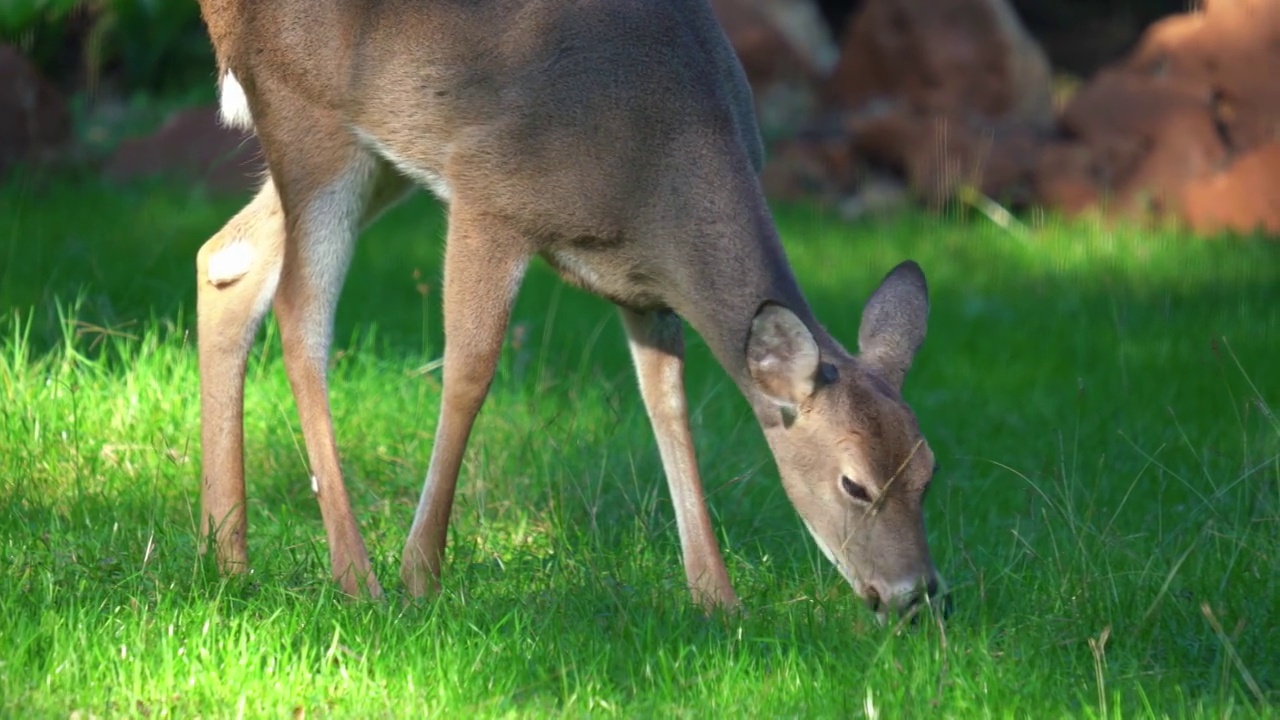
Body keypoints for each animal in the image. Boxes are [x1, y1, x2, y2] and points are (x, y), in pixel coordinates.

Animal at [194, 0, 947, 617]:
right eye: (855, 484)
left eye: (929, 471)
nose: (915, 596)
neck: (657, 158)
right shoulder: (489, 193)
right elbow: (470, 372)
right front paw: (421, 575)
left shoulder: (642, 286)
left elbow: (669, 405)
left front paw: (716, 596)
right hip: (307, 112)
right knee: (299, 313)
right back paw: (357, 579)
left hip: (376, 155)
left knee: (226, 260)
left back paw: (226, 558)